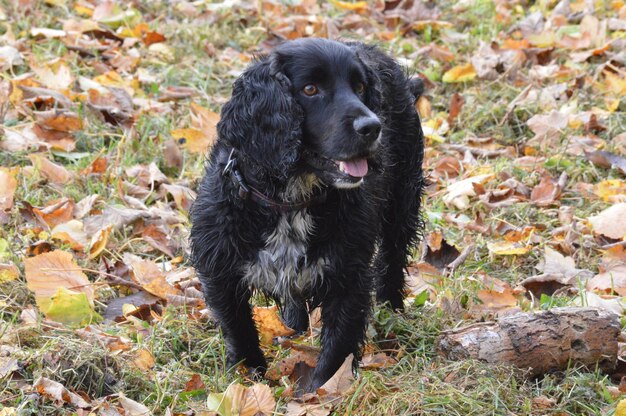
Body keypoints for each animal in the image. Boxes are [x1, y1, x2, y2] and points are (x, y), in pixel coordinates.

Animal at [190, 36, 424, 390]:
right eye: (310, 89)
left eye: (359, 86)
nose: (373, 126)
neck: (292, 199)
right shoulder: (219, 269)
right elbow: (239, 331)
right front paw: (249, 381)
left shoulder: (349, 272)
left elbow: (339, 344)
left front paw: (322, 390)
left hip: (402, 203)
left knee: (393, 261)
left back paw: (392, 311)